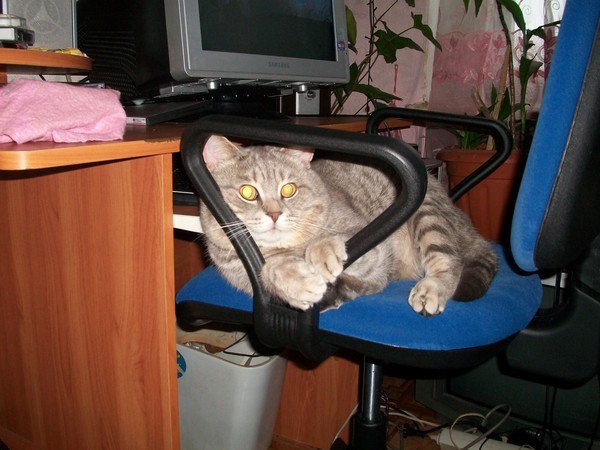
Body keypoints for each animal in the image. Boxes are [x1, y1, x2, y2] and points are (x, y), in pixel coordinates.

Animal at [198, 135, 498, 316]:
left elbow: (332, 241)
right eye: (248, 192)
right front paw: (297, 280)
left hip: (427, 216)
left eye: (289, 189)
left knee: (448, 262)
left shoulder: (374, 250)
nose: (274, 214)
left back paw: (431, 288)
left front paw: (322, 252)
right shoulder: (244, 274)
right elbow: (269, 269)